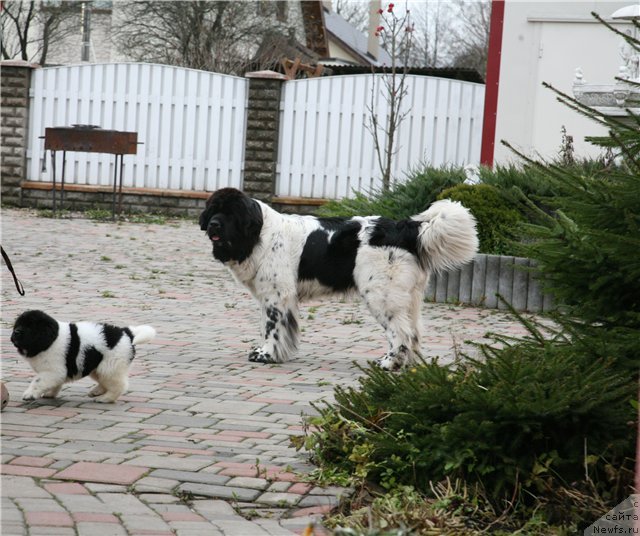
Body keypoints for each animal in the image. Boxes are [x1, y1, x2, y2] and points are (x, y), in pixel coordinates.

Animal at [11, 310, 156, 402]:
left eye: (30, 327)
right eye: (18, 325)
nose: (16, 332)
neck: (50, 340)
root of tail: (126, 334)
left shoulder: (52, 370)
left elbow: (38, 381)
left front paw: (30, 394)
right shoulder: (56, 372)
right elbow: (54, 383)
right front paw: (50, 394)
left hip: (110, 366)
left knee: (119, 385)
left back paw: (105, 399)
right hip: (98, 367)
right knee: (105, 381)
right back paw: (97, 391)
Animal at [201, 187, 480, 368]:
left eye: (231, 214)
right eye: (213, 210)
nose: (213, 224)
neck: (258, 233)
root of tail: (404, 228)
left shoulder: (277, 295)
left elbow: (272, 328)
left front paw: (267, 355)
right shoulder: (275, 296)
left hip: (382, 295)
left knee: (401, 333)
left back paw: (388, 363)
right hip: (409, 298)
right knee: (414, 332)